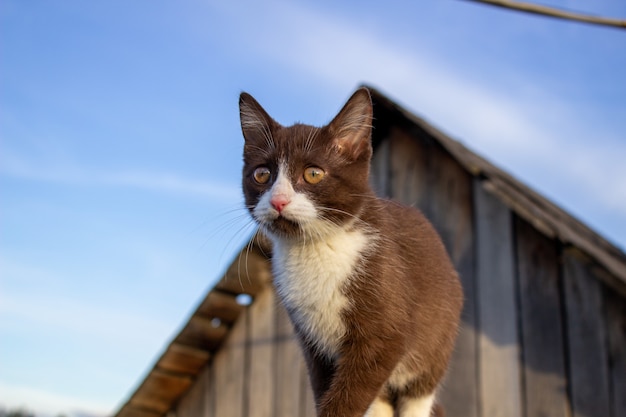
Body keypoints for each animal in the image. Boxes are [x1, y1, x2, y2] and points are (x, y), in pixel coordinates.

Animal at [239, 88, 464, 416]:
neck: (315, 250)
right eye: (261, 174)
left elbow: (350, 394)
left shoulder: (385, 330)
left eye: (313, 173)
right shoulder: (313, 344)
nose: (278, 201)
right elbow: (325, 386)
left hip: (436, 342)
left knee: (418, 395)